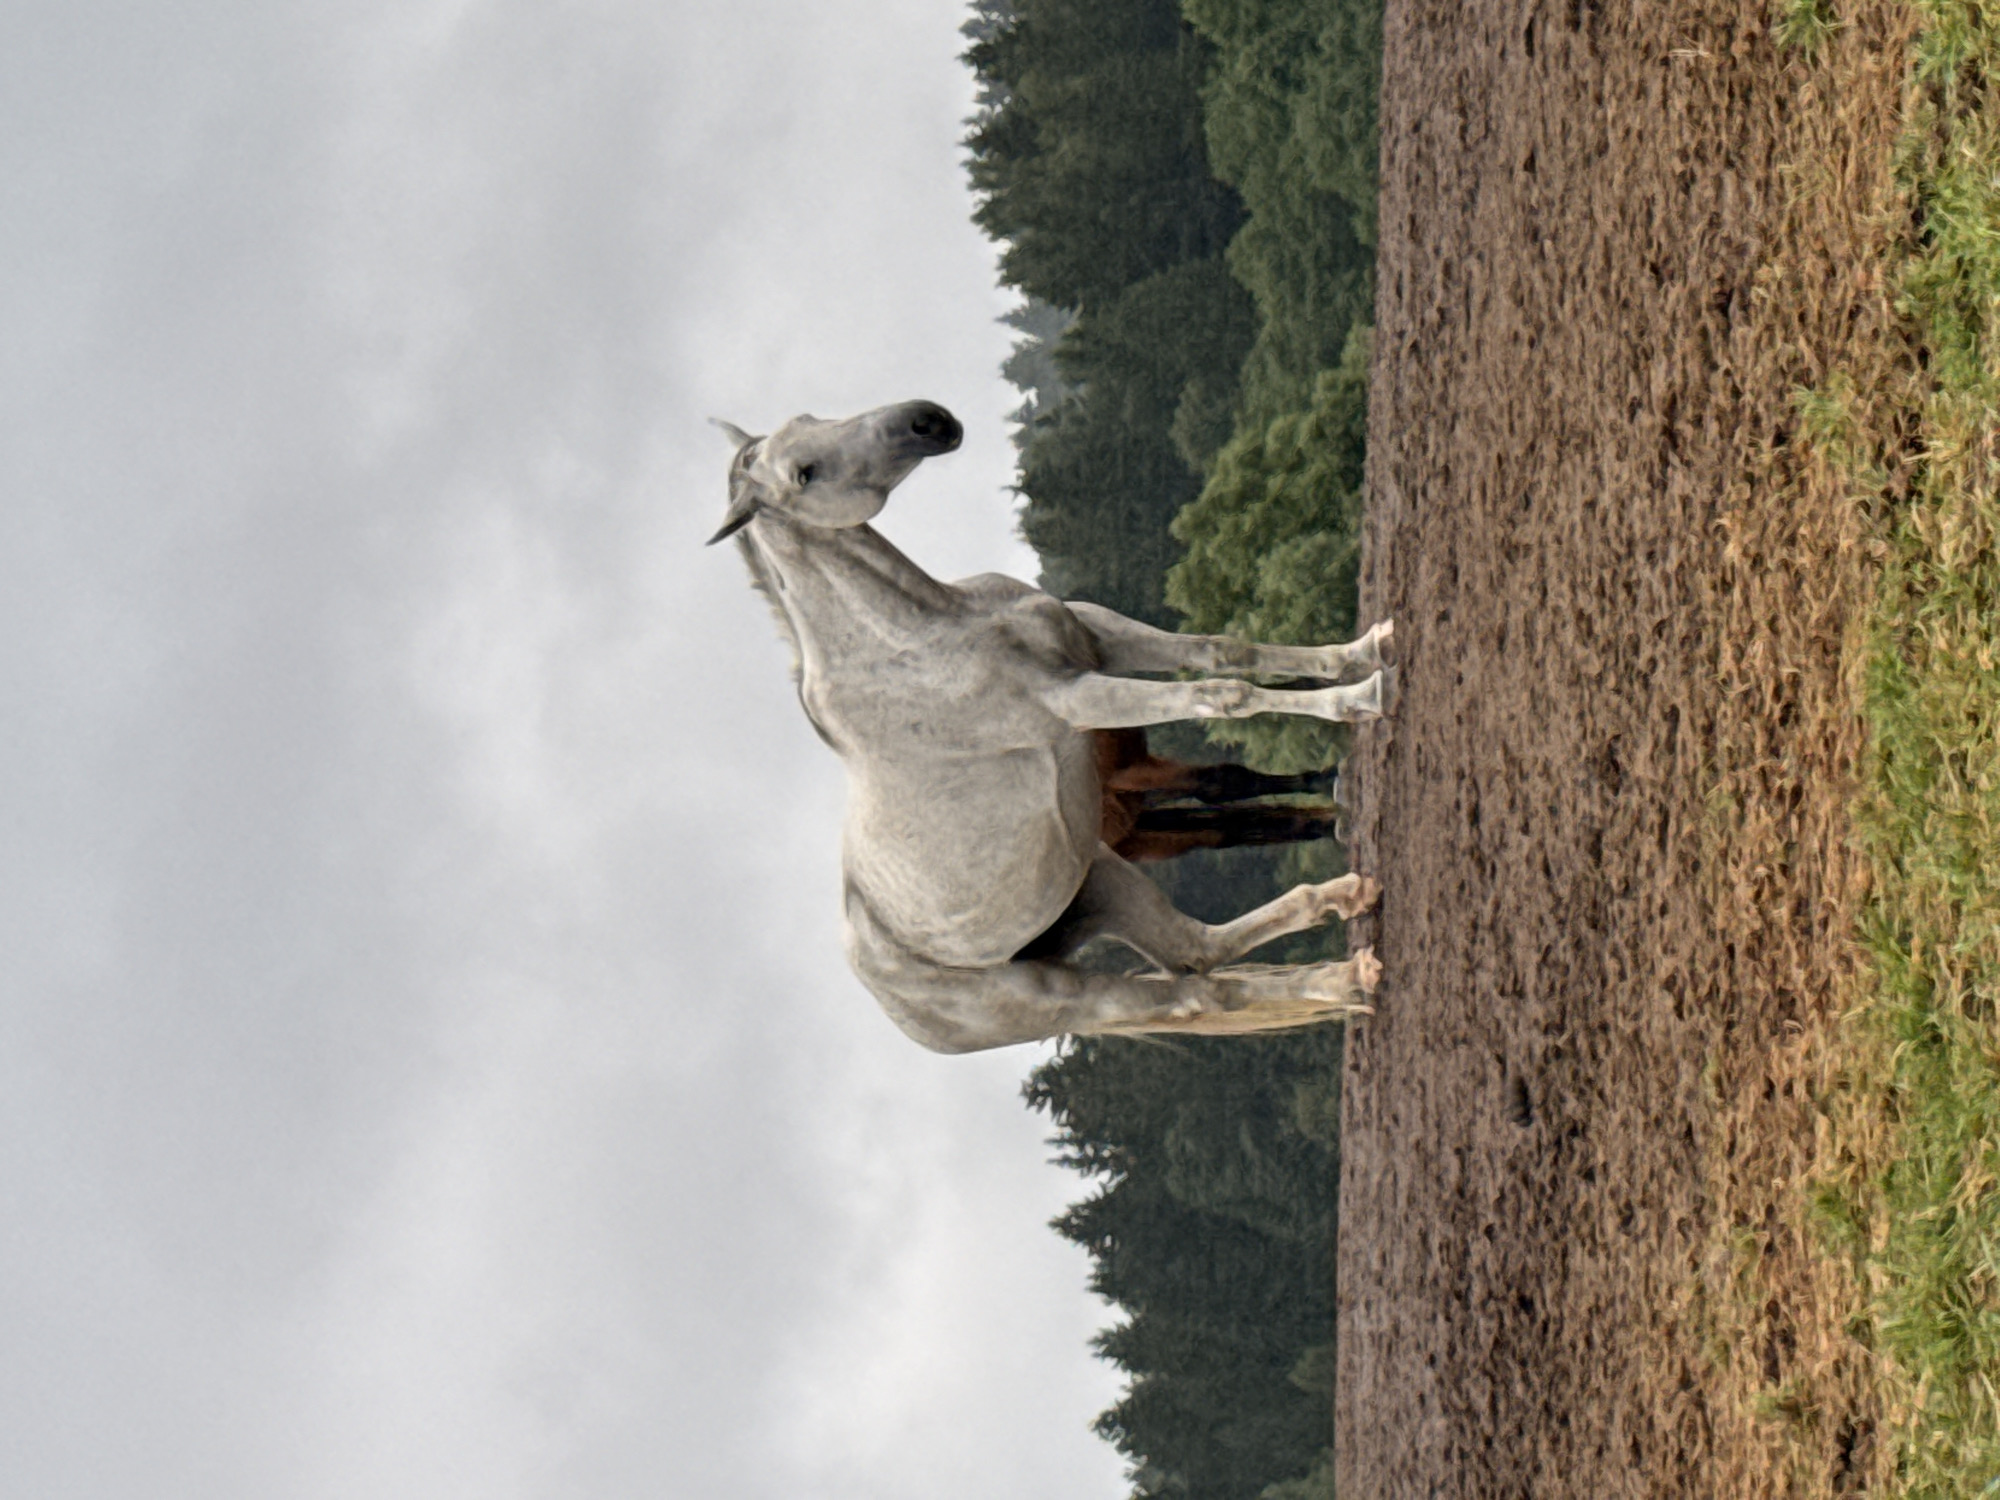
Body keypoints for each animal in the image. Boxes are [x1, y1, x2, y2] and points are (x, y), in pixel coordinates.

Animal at [711, 399, 1397, 1053]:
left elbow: (1225, 651)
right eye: (803, 474)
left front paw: (1365, 650)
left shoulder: (1100, 638)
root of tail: (894, 1001)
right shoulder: (1079, 699)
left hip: (1100, 877)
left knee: (1198, 951)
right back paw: (1348, 973)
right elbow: (1223, 696)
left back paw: (1349, 908)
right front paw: (1364, 698)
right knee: (1197, 994)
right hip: (1066, 994)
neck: (927, 634)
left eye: (811, 419)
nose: (926, 421)